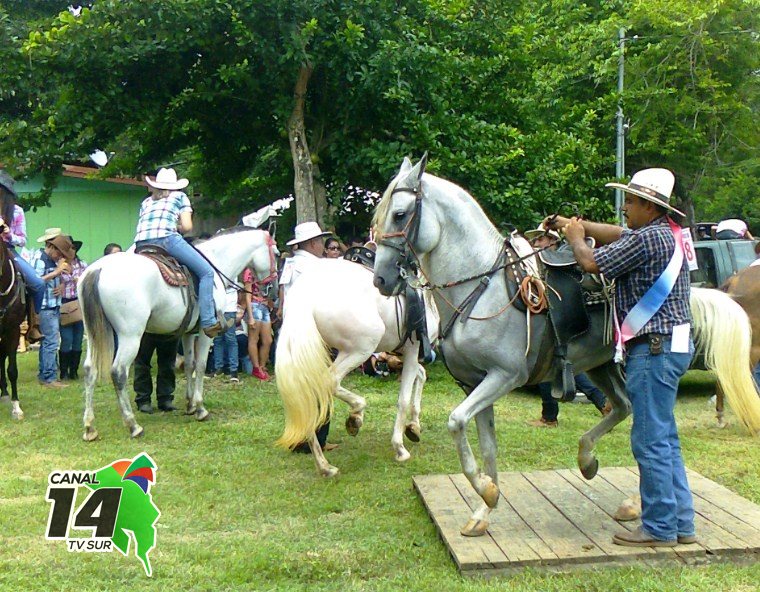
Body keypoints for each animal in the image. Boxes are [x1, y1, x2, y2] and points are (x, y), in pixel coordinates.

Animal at [78, 229, 280, 442]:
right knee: (118, 372)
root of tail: (98, 269)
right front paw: (200, 408)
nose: (273, 291)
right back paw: (133, 425)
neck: (216, 263)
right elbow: (200, 365)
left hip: (94, 334)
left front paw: (190, 405)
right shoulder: (206, 333)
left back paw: (90, 427)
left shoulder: (188, 333)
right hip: (130, 336)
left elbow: (190, 364)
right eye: (275, 253)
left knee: (90, 370)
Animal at [274, 256, 440, 474]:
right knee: (329, 382)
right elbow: (403, 399)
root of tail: (306, 294)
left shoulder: (405, 354)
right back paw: (355, 416)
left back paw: (324, 465)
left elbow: (421, 376)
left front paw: (414, 426)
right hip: (360, 349)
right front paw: (400, 448)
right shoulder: (413, 351)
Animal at [372, 156, 760, 536]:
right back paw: (588, 460)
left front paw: (486, 491)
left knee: (655, 433)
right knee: (624, 408)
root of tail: (691, 294)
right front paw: (484, 508)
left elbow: (455, 422)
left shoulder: (504, 376)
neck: (483, 286)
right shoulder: (475, 383)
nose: (381, 279)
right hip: (602, 367)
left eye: (400, 214)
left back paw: (637, 502)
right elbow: (486, 445)